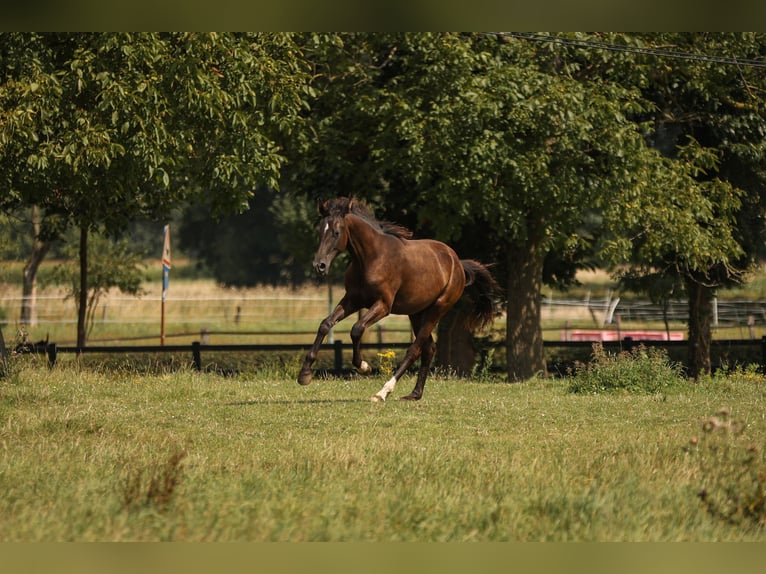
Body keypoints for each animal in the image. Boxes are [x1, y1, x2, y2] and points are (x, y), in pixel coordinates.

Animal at [296, 200, 500, 402]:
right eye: (320, 230)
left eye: (336, 233)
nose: (320, 266)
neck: (371, 258)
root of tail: (457, 263)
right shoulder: (352, 300)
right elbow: (325, 324)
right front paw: (304, 375)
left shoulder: (383, 305)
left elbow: (357, 329)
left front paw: (364, 367)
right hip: (416, 313)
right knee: (428, 348)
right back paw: (414, 394)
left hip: (437, 309)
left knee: (415, 349)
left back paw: (383, 392)